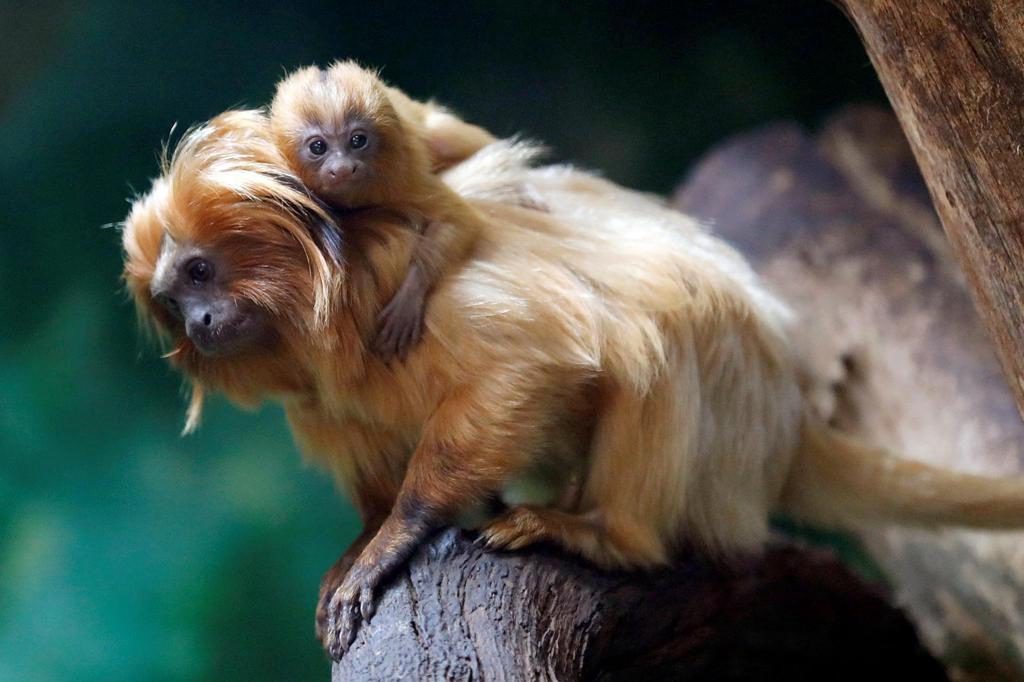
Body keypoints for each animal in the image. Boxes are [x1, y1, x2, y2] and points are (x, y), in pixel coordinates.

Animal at [123, 108, 1024, 662]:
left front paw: (396, 537)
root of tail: (786, 423)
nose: (200, 322)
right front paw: (364, 538)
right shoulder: (320, 397)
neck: (324, 311)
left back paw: (602, 534)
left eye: (201, 272)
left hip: (727, 419)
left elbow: (529, 364)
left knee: (663, 327)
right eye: (173, 299)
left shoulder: (406, 298)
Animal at [269, 61, 500, 360]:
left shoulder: (401, 178)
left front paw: (409, 297)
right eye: (318, 146)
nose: (343, 168)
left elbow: (458, 220)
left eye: (357, 140)